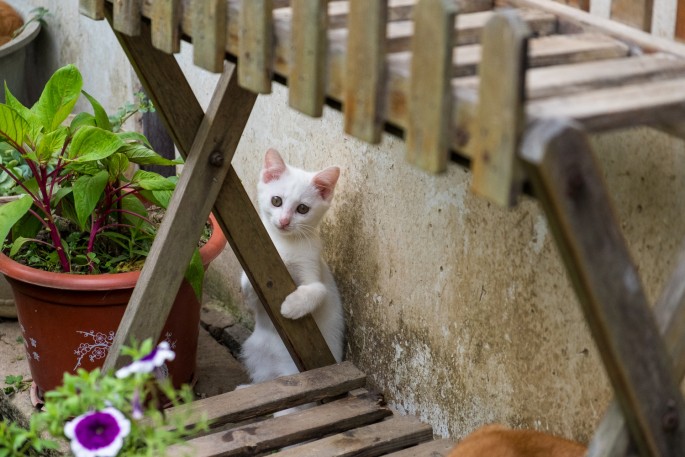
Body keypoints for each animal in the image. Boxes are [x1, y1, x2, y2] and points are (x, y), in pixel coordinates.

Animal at [242, 148, 348, 382]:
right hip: (254, 349)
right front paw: (246, 284)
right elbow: (250, 293)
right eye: (276, 201)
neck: (285, 244)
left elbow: (318, 290)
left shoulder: (312, 266)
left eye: (302, 208)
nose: (284, 222)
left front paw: (292, 306)